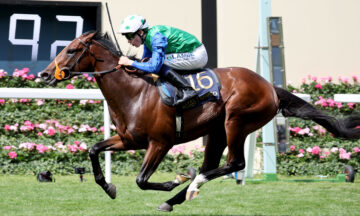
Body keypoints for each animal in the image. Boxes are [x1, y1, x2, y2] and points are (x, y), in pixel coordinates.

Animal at [40, 31, 360, 212]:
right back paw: (176, 199)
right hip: (217, 131)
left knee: (234, 163)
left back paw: (191, 184)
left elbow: (142, 180)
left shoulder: (160, 142)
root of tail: (269, 86)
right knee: (212, 165)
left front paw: (174, 179)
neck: (135, 91)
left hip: (237, 122)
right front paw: (109, 187)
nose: (44, 74)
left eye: (71, 50)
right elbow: (94, 150)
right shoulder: (130, 139)